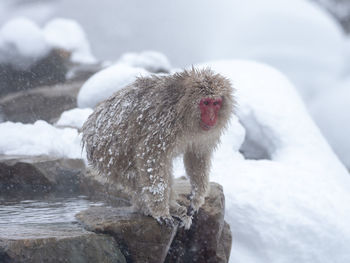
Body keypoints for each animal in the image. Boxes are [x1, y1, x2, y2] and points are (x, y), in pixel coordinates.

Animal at [82, 67, 234, 229]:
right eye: (205, 103)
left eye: (216, 103)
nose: (212, 118)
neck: (184, 111)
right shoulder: (164, 123)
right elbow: (151, 157)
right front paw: (161, 211)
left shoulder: (204, 135)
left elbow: (196, 156)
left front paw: (197, 198)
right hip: (108, 154)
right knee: (137, 174)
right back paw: (148, 208)